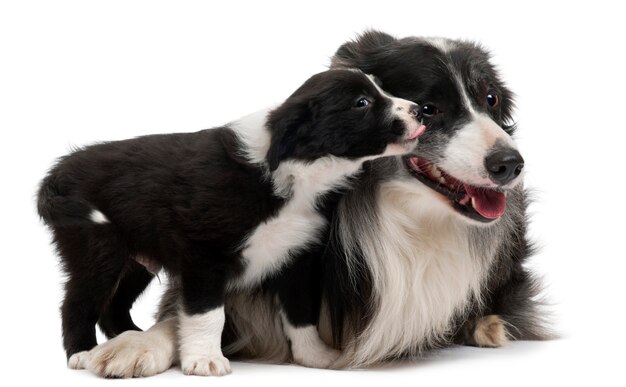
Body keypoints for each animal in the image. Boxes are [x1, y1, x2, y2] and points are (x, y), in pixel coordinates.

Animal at [69, 31, 544, 378]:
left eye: (490, 99)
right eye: (429, 108)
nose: (511, 165)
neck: (401, 217)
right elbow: (194, 312)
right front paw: (138, 345)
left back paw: (490, 325)